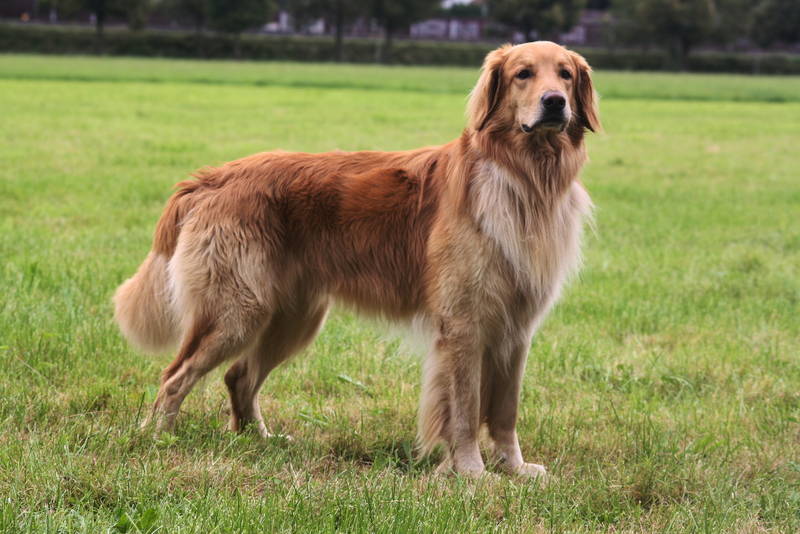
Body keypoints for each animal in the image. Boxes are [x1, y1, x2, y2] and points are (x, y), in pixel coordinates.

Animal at [114, 41, 600, 478]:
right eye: (523, 74)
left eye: (565, 75)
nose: (554, 102)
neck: (525, 177)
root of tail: (211, 178)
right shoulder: (463, 324)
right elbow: (463, 409)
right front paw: (471, 473)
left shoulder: (516, 329)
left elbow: (505, 411)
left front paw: (513, 469)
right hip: (235, 313)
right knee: (174, 377)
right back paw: (158, 440)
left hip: (292, 319)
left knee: (239, 376)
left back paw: (259, 440)